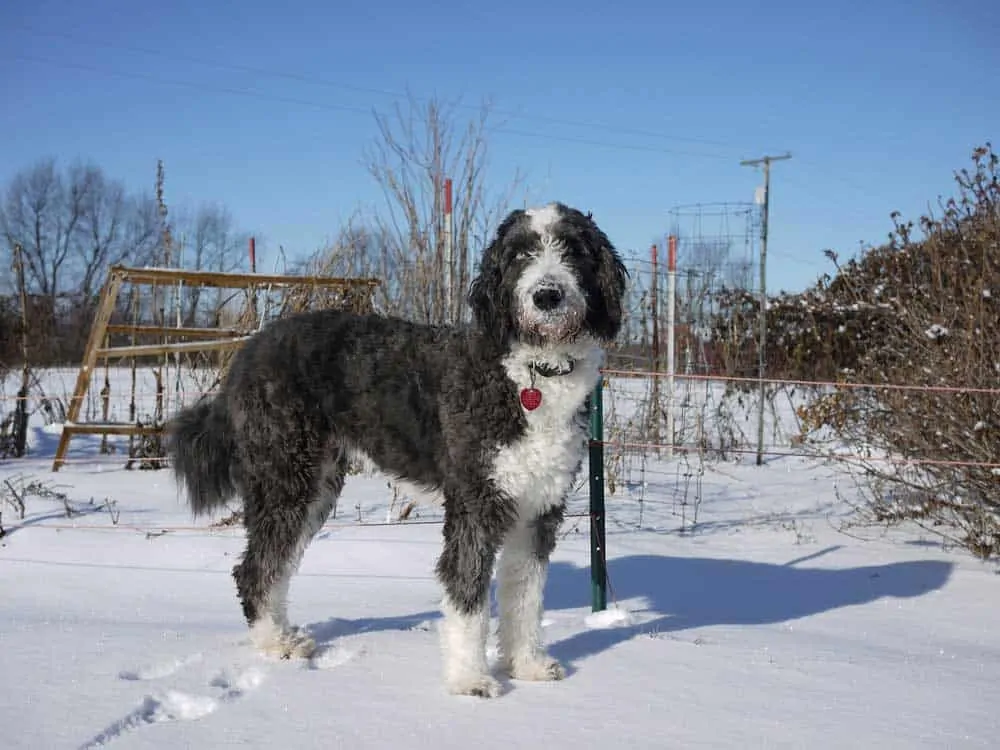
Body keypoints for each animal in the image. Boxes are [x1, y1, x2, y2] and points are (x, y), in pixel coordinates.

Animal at [170, 201, 624, 700]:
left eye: (573, 249)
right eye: (522, 253)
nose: (548, 295)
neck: (531, 375)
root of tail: (249, 349)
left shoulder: (538, 507)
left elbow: (525, 594)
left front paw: (526, 666)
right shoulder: (476, 502)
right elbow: (467, 593)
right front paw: (469, 680)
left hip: (314, 484)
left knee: (276, 564)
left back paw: (283, 634)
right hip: (286, 475)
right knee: (256, 567)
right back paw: (274, 644)